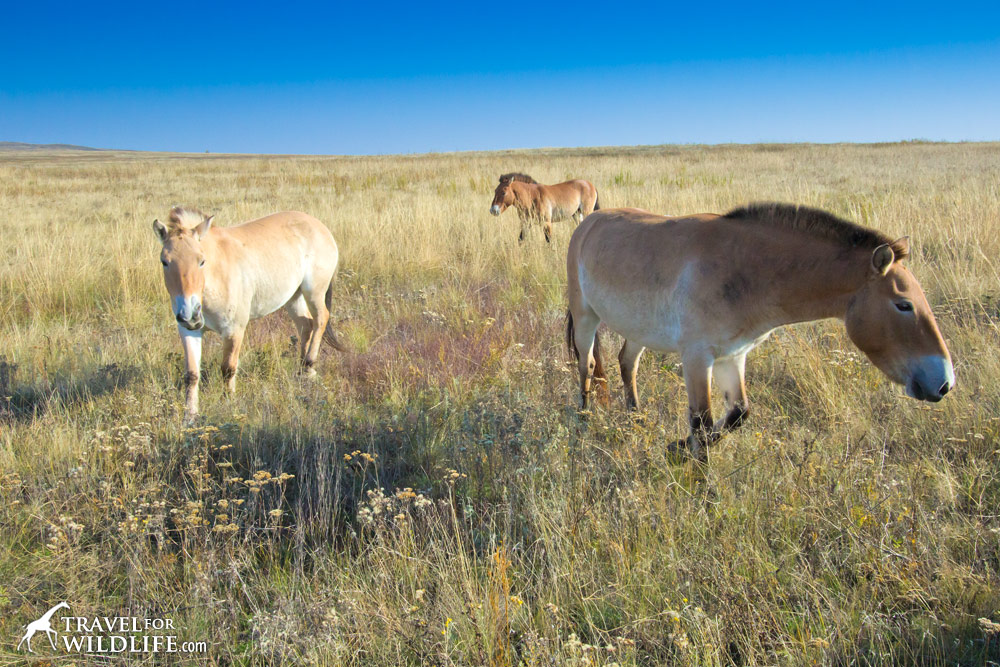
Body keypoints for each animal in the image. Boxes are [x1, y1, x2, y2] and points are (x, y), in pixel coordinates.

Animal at [152, 206, 346, 420]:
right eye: (164, 261)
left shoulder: (234, 330)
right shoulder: (189, 331)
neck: (216, 276)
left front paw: (228, 404)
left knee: (321, 319)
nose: (190, 314)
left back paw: (310, 365)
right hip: (293, 296)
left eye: (201, 261)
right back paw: (302, 371)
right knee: (306, 325)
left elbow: (228, 369)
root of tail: (319, 225)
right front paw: (190, 416)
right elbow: (192, 374)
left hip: (314, 291)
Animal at [568, 202, 956, 460]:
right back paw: (583, 419)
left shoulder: (733, 356)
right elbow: (702, 423)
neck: (745, 270)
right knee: (587, 366)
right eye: (903, 305)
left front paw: (678, 447)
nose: (944, 383)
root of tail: (591, 219)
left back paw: (635, 418)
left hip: (638, 330)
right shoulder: (697, 358)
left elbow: (738, 415)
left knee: (626, 363)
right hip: (586, 317)